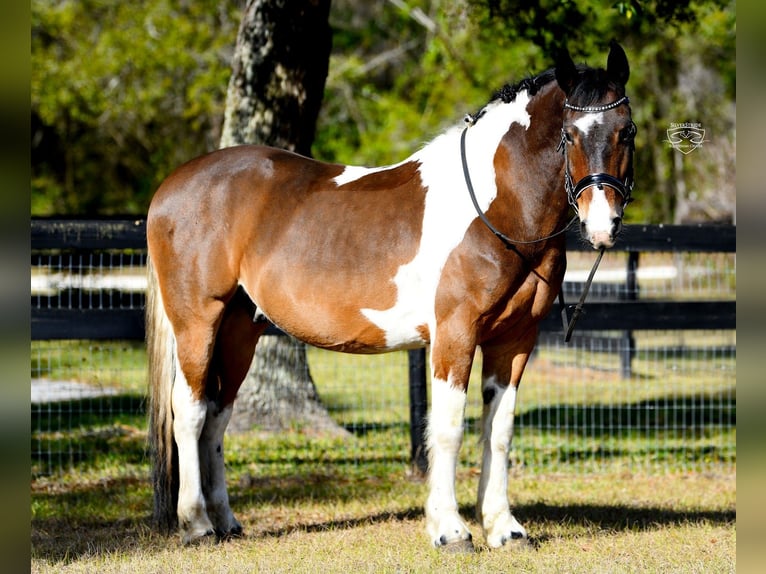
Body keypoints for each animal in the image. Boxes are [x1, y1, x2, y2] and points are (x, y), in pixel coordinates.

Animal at [146, 40, 635, 550]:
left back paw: (226, 521)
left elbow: (498, 431)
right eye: (569, 135)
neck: (496, 210)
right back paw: (197, 524)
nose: (603, 225)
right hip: (197, 323)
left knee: (218, 417)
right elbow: (448, 428)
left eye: (627, 132)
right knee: (190, 412)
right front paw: (450, 530)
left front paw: (504, 528)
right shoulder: (454, 336)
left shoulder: (514, 340)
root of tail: (173, 186)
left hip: (240, 330)